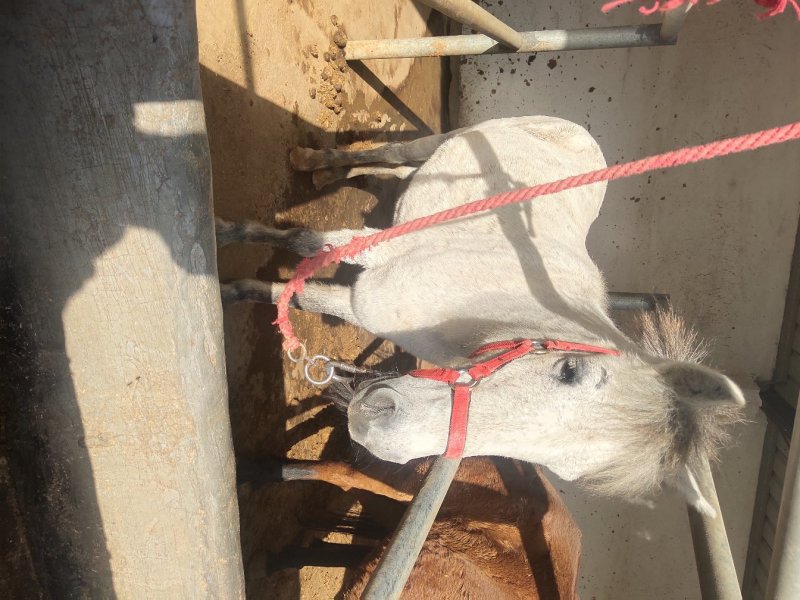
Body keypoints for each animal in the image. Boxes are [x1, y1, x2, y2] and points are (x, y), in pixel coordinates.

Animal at [218, 115, 744, 516]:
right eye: (569, 371)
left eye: (561, 470)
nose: (374, 424)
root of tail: (585, 137)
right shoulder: (378, 258)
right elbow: (303, 246)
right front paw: (225, 245)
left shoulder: (371, 301)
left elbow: (302, 295)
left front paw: (238, 288)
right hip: (452, 137)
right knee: (396, 152)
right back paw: (311, 163)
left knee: (399, 171)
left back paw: (333, 178)